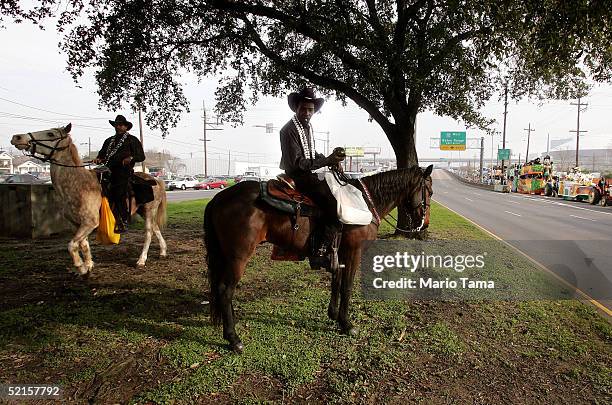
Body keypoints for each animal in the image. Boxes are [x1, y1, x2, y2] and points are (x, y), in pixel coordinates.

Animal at [11, 124, 169, 274]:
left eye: (50, 134)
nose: (17, 137)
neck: (78, 184)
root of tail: (157, 180)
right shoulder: (78, 223)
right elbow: (83, 244)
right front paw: (88, 265)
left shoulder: (90, 222)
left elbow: (72, 245)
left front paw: (80, 267)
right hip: (143, 211)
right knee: (155, 227)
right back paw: (162, 251)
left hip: (149, 210)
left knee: (149, 232)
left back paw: (141, 260)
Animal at [203, 163, 432, 350]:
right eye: (428, 190)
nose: (424, 223)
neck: (367, 202)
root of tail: (219, 198)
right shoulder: (354, 252)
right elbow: (347, 286)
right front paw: (347, 324)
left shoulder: (339, 253)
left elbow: (336, 283)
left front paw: (334, 315)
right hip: (238, 256)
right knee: (225, 290)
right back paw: (233, 338)